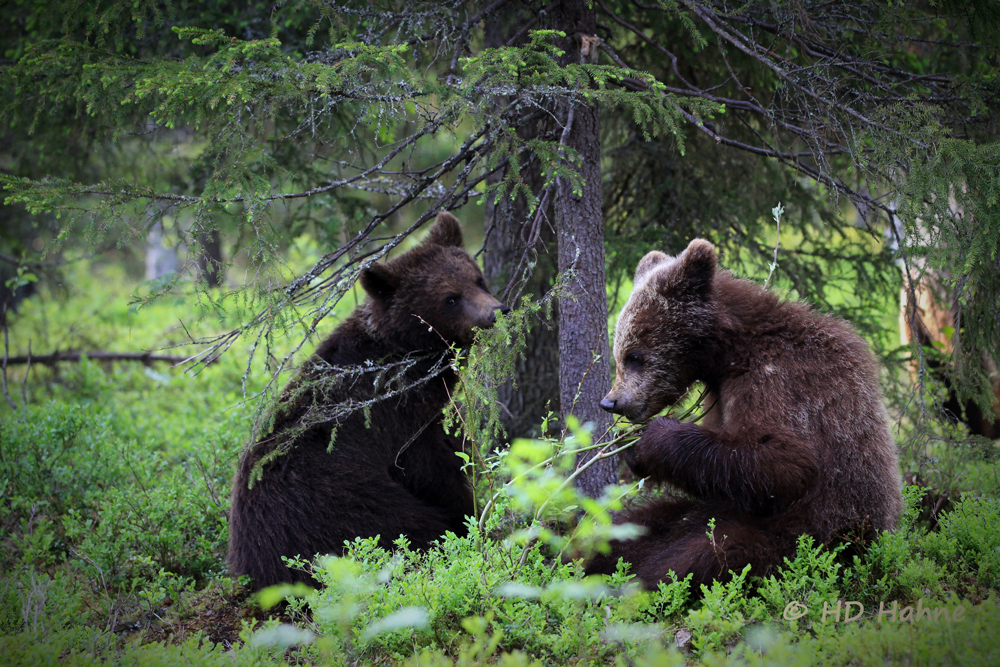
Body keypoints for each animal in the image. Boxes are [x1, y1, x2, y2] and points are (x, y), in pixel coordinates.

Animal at [229, 213, 508, 588]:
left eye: (478, 279)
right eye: (450, 298)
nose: (496, 313)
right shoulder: (394, 418)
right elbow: (436, 470)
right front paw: (470, 514)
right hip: (338, 504)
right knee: (402, 526)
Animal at [588, 240, 904, 588]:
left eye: (634, 355)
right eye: (620, 352)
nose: (612, 402)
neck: (729, 354)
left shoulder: (778, 380)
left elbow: (783, 461)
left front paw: (651, 438)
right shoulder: (720, 394)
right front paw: (627, 447)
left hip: (801, 537)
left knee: (707, 554)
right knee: (634, 524)